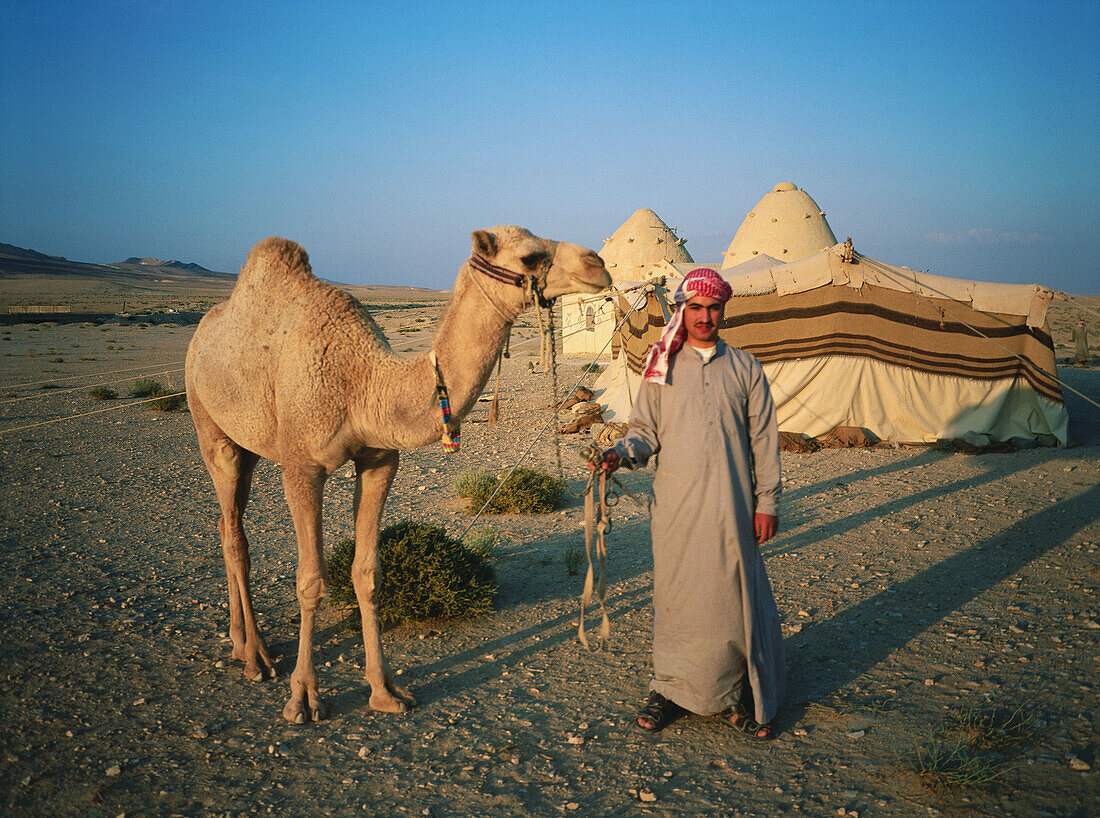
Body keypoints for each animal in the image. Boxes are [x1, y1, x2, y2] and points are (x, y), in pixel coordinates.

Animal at [187, 225, 611, 721]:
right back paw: (256, 657)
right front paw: (304, 697)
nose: (597, 264)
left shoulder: (379, 460)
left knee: (226, 525)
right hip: (210, 427)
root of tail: (202, 333)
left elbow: (367, 573)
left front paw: (384, 689)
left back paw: (241, 644)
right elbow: (310, 580)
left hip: (248, 444)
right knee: (235, 535)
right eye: (529, 256)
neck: (364, 382)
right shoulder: (302, 466)